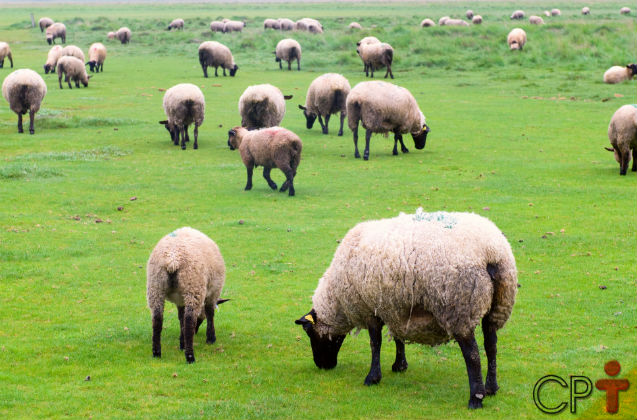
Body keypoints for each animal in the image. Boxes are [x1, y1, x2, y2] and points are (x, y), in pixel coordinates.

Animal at [146, 226, 226, 364]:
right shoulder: (213, 292)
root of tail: (173, 259)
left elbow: (180, 318)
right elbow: (210, 313)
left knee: (157, 320)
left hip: (155, 287)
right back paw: (190, 357)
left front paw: (181, 343)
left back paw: (156, 353)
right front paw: (211, 338)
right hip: (193, 287)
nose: (196, 331)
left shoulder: (180, 300)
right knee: (189, 321)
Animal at [296, 210, 520, 410]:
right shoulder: (396, 306)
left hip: (459, 307)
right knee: (491, 346)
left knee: (473, 355)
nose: (323, 366)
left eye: (309, 333)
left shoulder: (371, 308)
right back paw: (491, 388)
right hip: (498, 305)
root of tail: (491, 251)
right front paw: (399, 366)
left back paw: (476, 399)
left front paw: (372, 377)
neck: (338, 299)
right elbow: (398, 337)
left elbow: (375, 343)